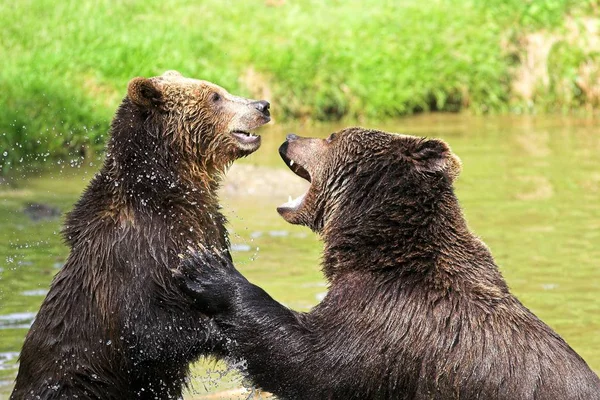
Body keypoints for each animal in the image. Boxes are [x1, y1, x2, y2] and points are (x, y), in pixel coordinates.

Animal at [10, 70, 272, 398]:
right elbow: (145, 332)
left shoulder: (207, 230)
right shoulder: (132, 258)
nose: (263, 106)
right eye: (215, 96)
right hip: (75, 382)